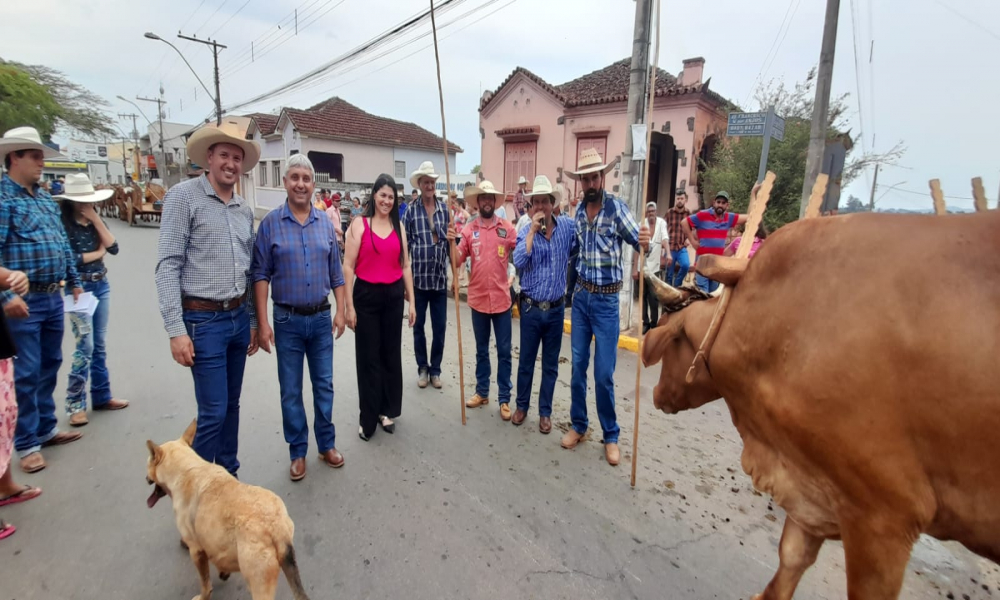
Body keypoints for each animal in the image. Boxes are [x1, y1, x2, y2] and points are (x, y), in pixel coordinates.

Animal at [146, 422, 310, 600]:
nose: (146, 479)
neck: (187, 468)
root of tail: (276, 528)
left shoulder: (196, 551)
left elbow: (205, 581)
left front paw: (204, 595)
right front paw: (223, 572)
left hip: (259, 585)